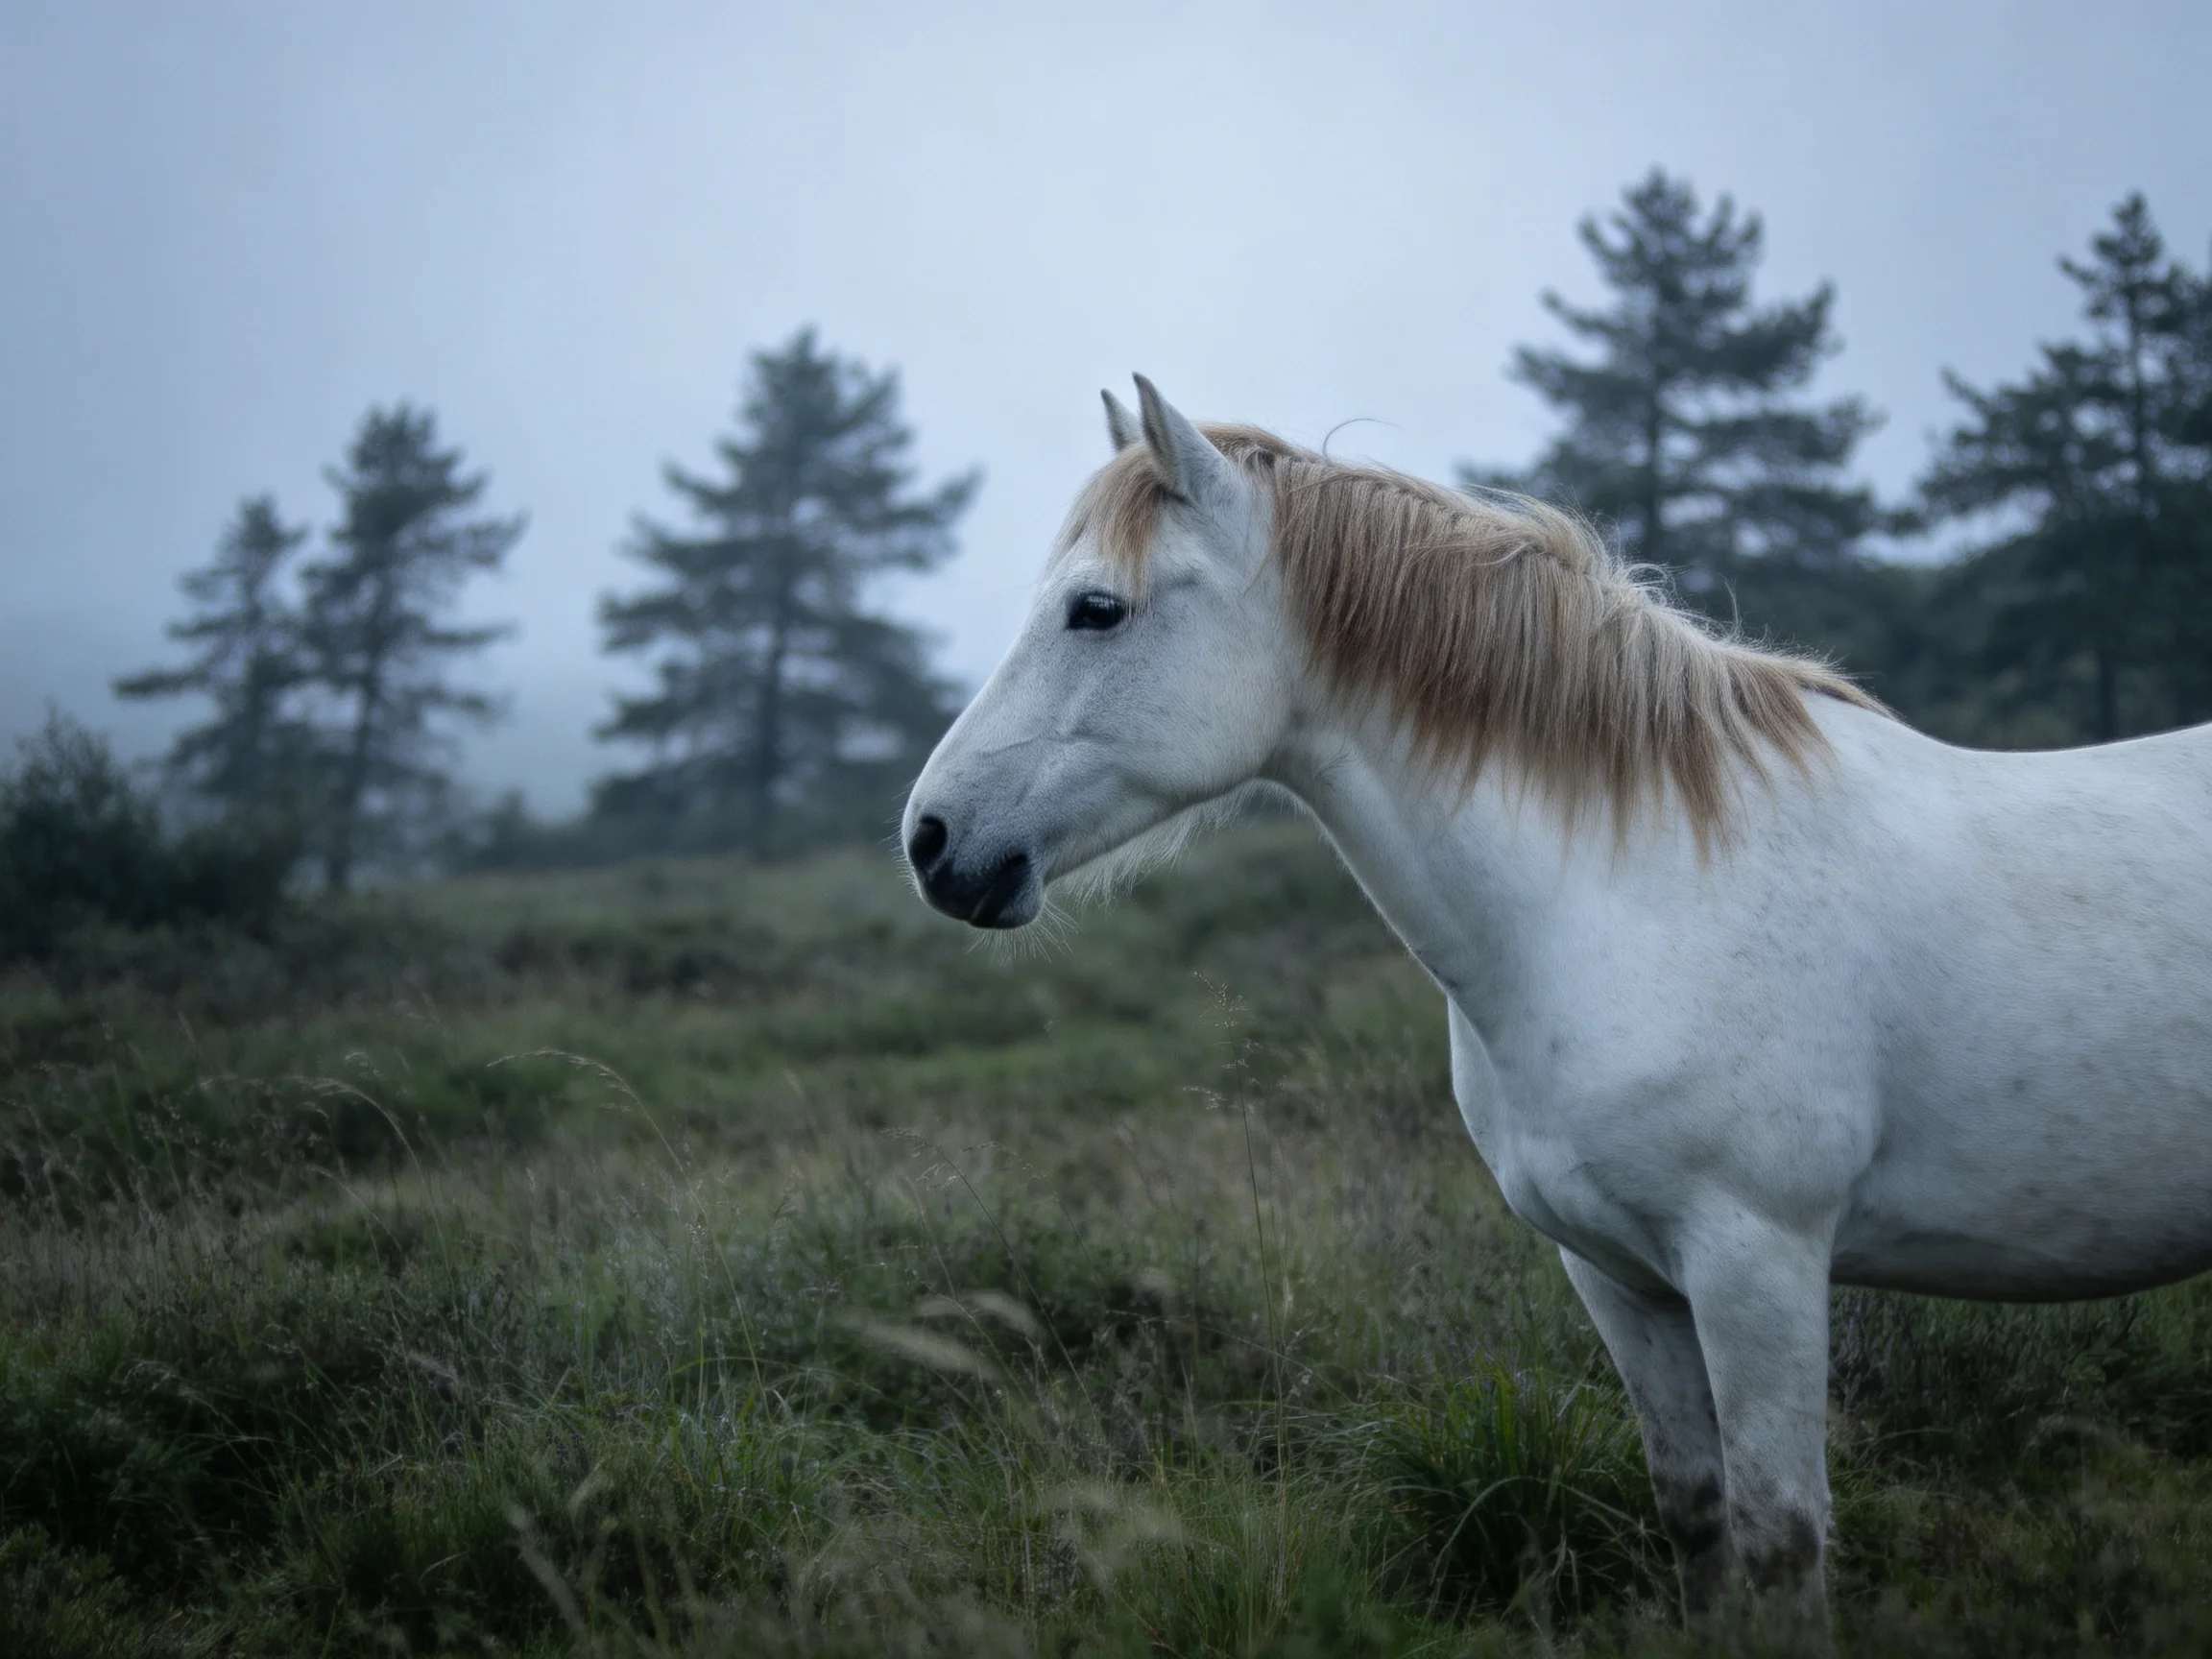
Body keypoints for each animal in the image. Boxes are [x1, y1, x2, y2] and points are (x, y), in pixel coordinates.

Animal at [900, 376, 2212, 1638]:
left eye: (1097, 610)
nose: (931, 842)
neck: (1638, 894)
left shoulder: (1759, 1264)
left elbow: (1780, 1538)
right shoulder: (1621, 1278)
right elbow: (1699, 1518)